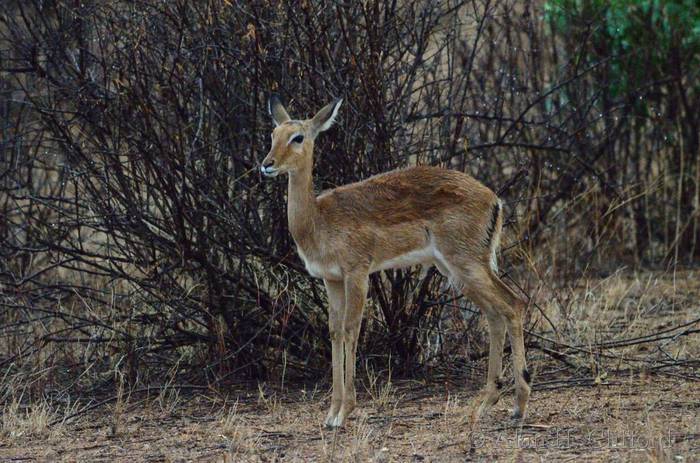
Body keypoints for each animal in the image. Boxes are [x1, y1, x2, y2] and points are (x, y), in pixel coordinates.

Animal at [261, 96, 531, 428]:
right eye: (273, 134)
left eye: (297, 137)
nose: (267, 164)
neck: (318, 219)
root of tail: (494, 199)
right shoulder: (331, 279)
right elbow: (335, 332)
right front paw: (331, 413)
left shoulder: (357, 273)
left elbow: (351, 329)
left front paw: (345, 412)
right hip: (457, 270)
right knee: (495, 314)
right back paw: (484, 405)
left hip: (467, 264)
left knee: (513, 304)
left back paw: (518, 405)